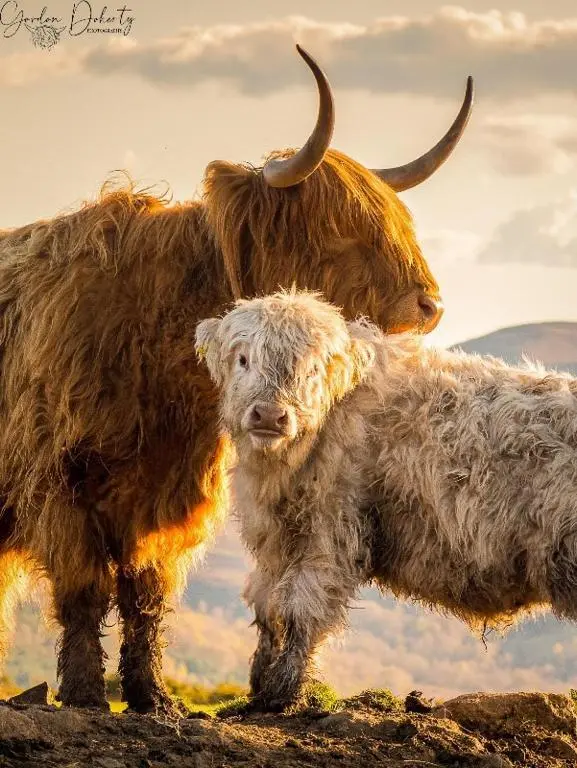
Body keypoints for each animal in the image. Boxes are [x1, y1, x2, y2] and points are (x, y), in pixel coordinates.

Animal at [0, 46, 473, 715]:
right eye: (342, 229)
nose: (430, 305)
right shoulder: (64, 478)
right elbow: (85, 588)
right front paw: (88, 692)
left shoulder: (167, 492)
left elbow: (146, 594)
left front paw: (152, 696)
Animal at [196, 290, 577, 712]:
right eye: (243, 359)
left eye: (313, 370)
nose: (270, 414)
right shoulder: (277, 540)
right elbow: (265, 606)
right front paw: (259, 687)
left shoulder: (331, 531)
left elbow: (301, 610)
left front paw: (282, 693)